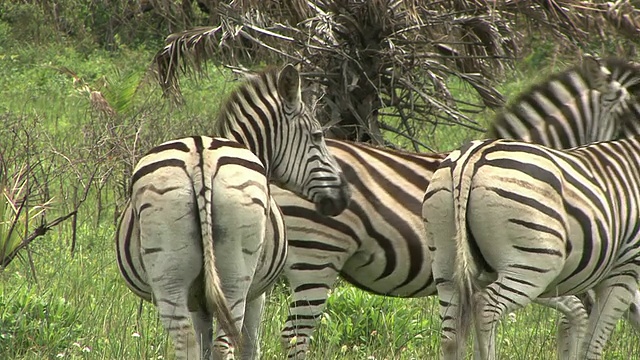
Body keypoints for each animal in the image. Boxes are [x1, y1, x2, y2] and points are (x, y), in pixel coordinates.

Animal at [115, 64, 350, 360]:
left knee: (188, 344)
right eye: (317, 137)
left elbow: (203, 344)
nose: (344, 197)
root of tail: (200, 156)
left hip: (169, 275)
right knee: (223, 344)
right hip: (236, 277)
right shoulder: (257, 293)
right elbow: (250, 346)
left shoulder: (198, 300)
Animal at [422, 136, 640, 360]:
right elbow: (592, 345)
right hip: (532, 266)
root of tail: (468, 160)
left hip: (446, 265)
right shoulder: (624, 270)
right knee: (485, 307)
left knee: (451, 335)